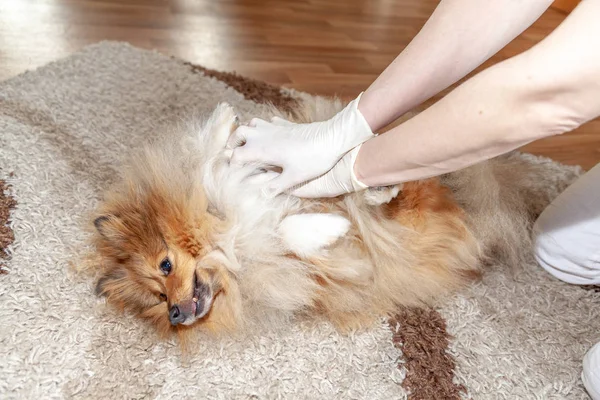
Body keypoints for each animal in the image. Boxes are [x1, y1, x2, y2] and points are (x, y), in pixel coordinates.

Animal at [92, 101, 520, 340]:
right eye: (158, 298)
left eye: (165, 266)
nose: (175, 315)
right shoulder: (309, 268)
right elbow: (289, 234)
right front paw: (330, 228)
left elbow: (215, 159)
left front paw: (223, 123)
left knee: (408, 187)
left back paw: (380, 186)